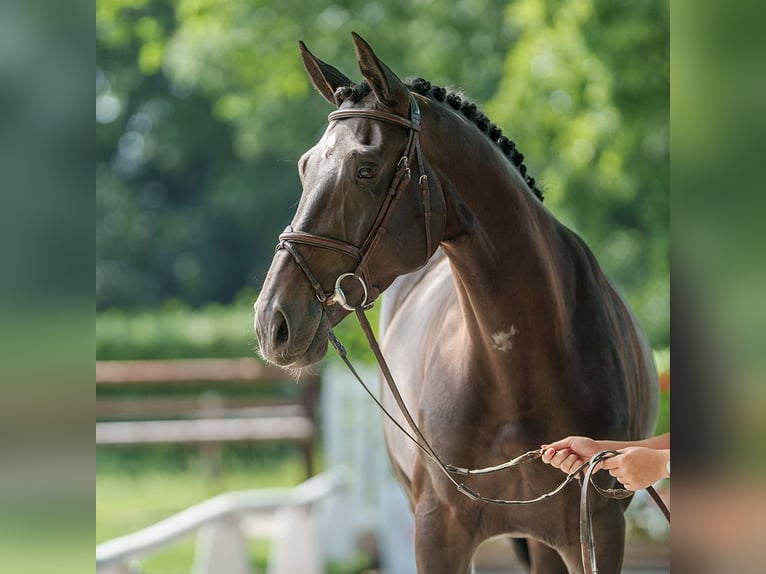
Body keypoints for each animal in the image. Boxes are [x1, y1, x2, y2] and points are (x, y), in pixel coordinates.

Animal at [256, 35, 660, 574]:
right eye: (305, 166)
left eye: (366, 169)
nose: (272, 322)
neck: (517, 367)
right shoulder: (437, 532)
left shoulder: (597, 531)